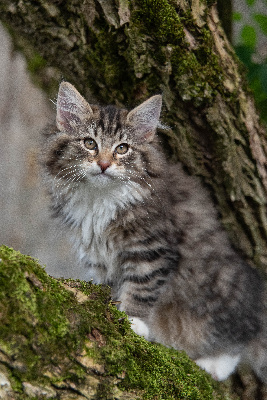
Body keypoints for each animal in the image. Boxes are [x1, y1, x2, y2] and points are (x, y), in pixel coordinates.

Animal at [43, 82, 267, 384]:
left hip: (219, 288)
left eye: (122, 148)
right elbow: (112, 286)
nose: (104, 164)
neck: (100, 200)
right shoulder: (97, 254)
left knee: (242, 332)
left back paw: (214, 364)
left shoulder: (152, 247)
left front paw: (133, 321)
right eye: (90, 143)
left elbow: (142, 285)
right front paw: (113, 307)